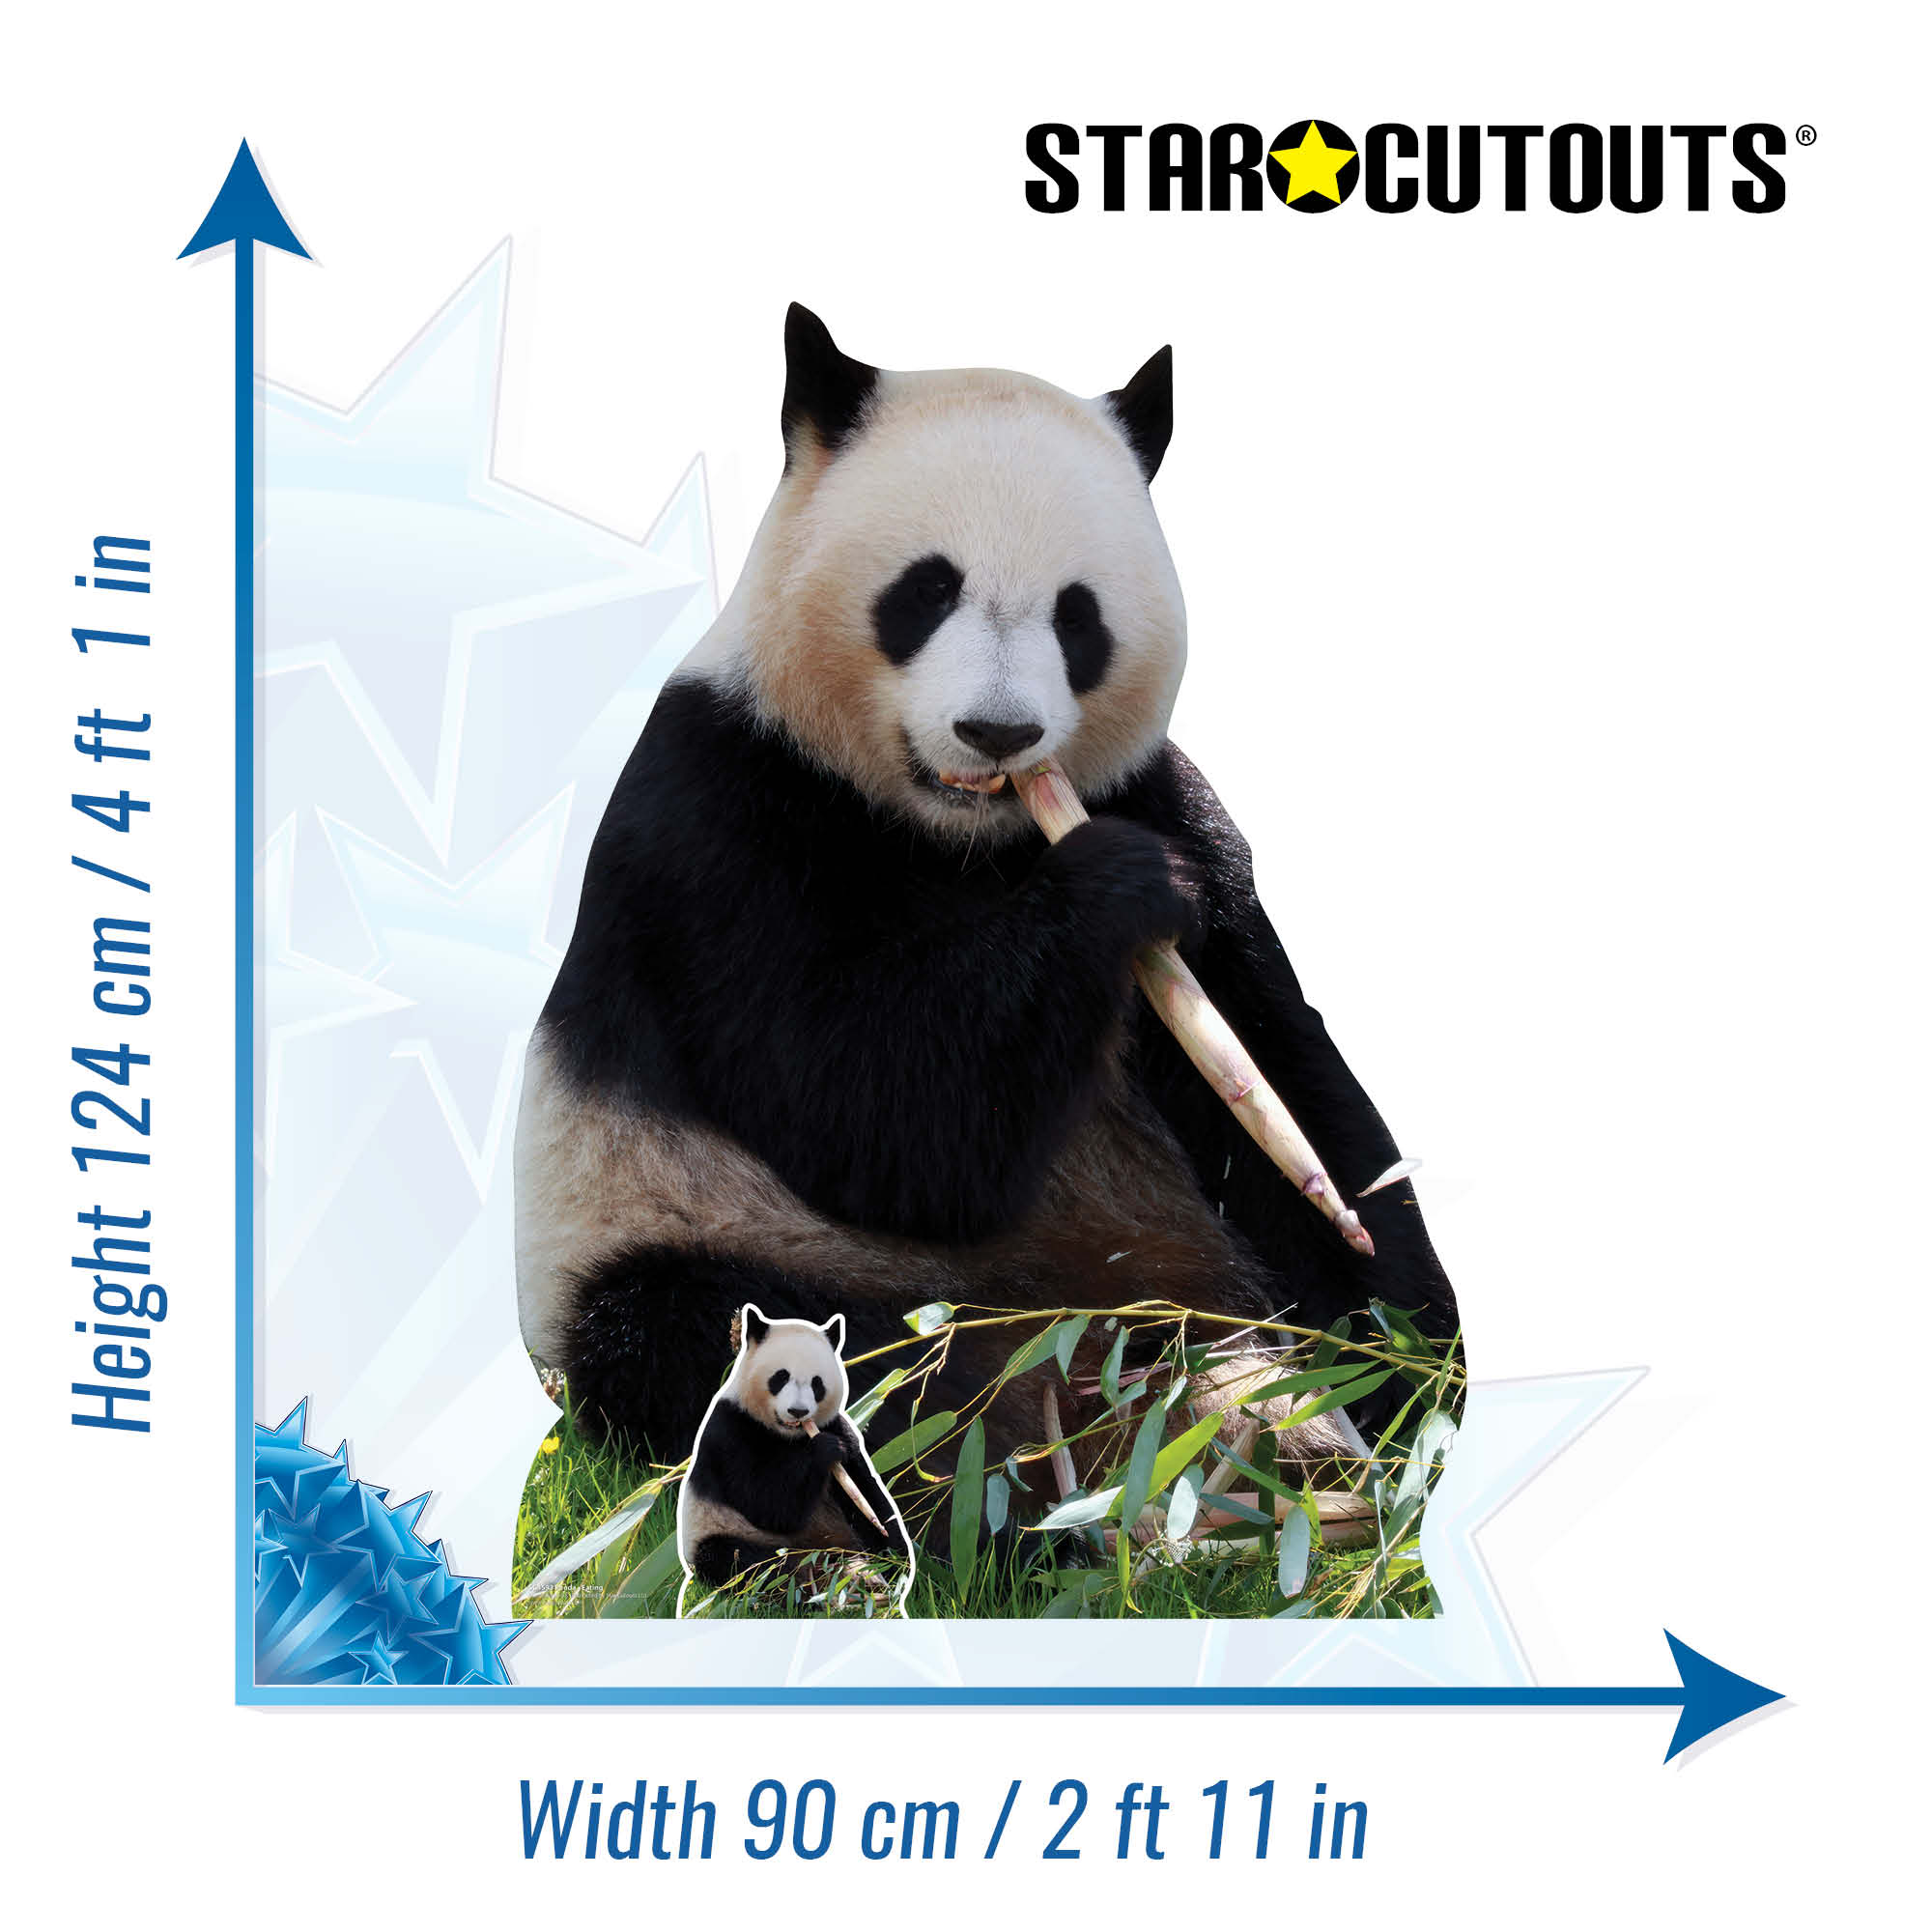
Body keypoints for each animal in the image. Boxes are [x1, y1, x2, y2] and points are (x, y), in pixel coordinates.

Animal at [514, 304, 1459, 1517]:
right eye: (925, 591)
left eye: (1077, 616)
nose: (998, 732)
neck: (962, 836)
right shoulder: (715, 816)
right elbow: (872, 1109)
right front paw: (1112, 888)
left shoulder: (1160, 799)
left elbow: (1283, 1087)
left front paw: (1407, 1354)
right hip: (691, 1230)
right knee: (786, 1353)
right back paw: (1057, 1479)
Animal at [675, 1304, 913, 1601]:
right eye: (781, 1377)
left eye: (817, 1383)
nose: (798, 1411)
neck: (790, 1437)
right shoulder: (729, 1431)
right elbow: (767, 1504)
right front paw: (824, 1451)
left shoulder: (836, 1426)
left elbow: (866, 1493)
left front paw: (895, 1552)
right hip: (722, 1532)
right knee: (747, 1564)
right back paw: (814, 1592)